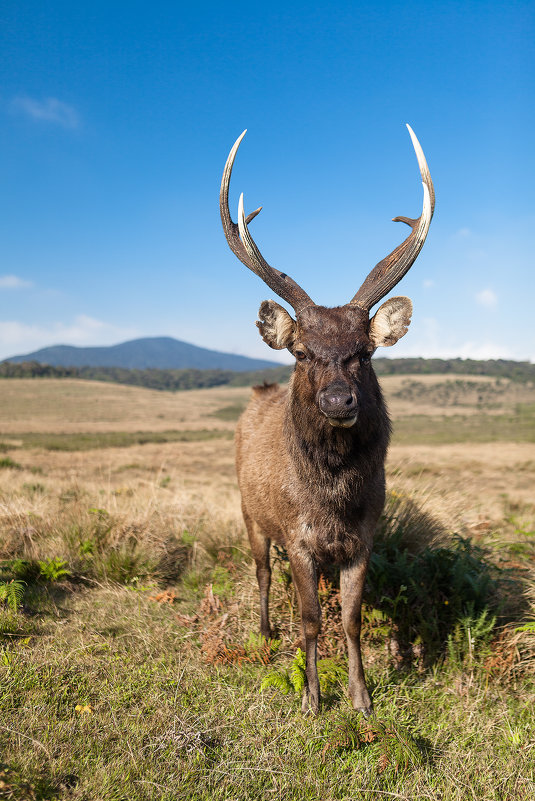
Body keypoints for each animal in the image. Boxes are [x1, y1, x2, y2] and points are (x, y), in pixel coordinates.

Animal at [220, 125, 434, 712]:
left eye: (364, 352)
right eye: (302, 352)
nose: (340, 402)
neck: (333, 502)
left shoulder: (364, 538)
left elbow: (352, 619)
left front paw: (362, 697)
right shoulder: (297, 537)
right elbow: (312, 620)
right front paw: (313, 698)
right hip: (249, 512)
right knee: (262, 573)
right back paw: (265, 633)